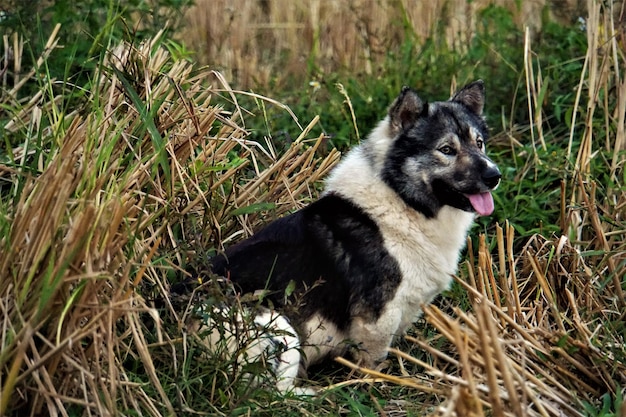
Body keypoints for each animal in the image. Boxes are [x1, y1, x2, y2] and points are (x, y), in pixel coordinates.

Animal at [195, 80, 498, 394]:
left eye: (479, 143)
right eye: (446, 149)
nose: (494, 176)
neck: (402, 198)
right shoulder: (378, 318)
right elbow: (374, 362)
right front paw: (379, 384)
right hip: (282, 329)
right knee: (276, 393)